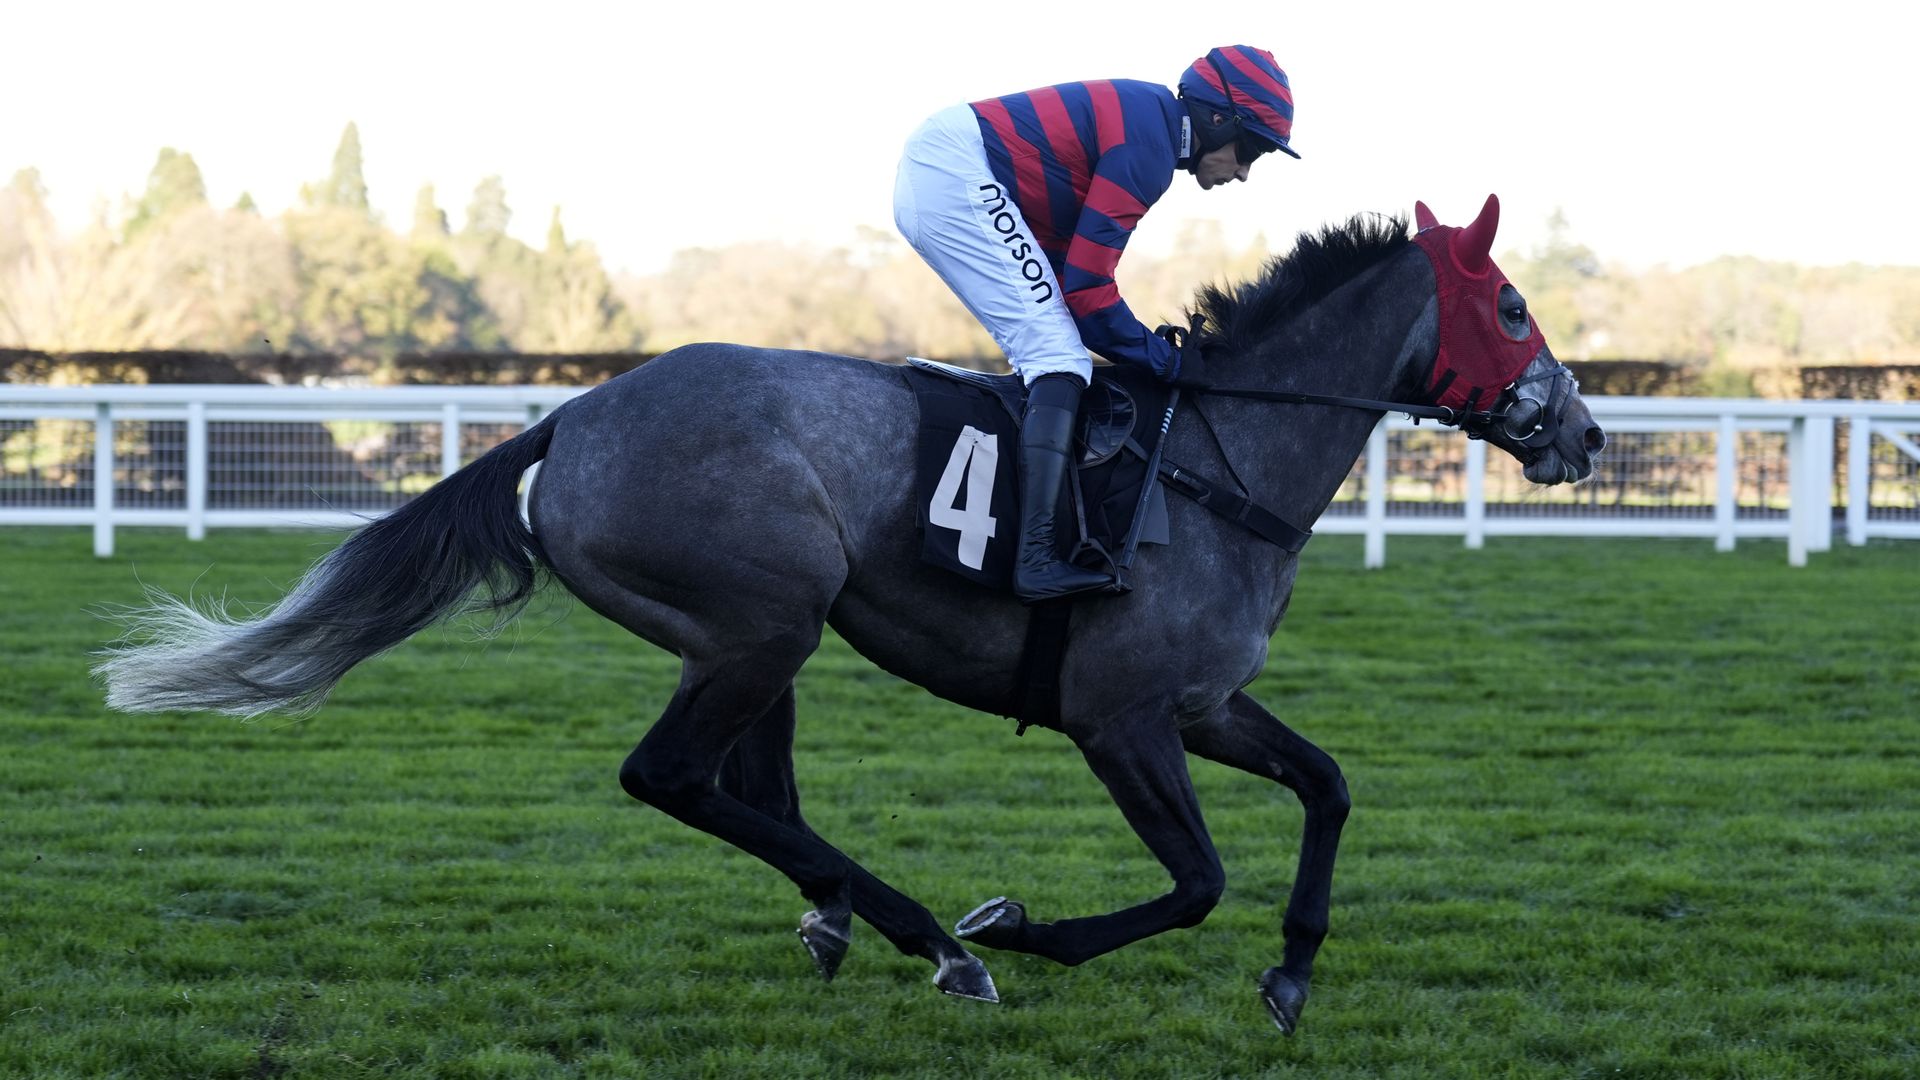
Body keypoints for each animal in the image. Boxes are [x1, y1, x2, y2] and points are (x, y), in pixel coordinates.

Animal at [97, 195, 1604, 1035]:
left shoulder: (1205, 703)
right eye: (1511, 302)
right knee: (672, 777)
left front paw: (1292, 978)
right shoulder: (1116, 717)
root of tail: (571, 419)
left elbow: (1330, 786)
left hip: (760, 633)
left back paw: (846, 917)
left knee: (744, 784)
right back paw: (934, 940)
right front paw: (1017, 929)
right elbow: (1194, 882)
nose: (1583, 432)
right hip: (766, 616)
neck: (1218, 465)